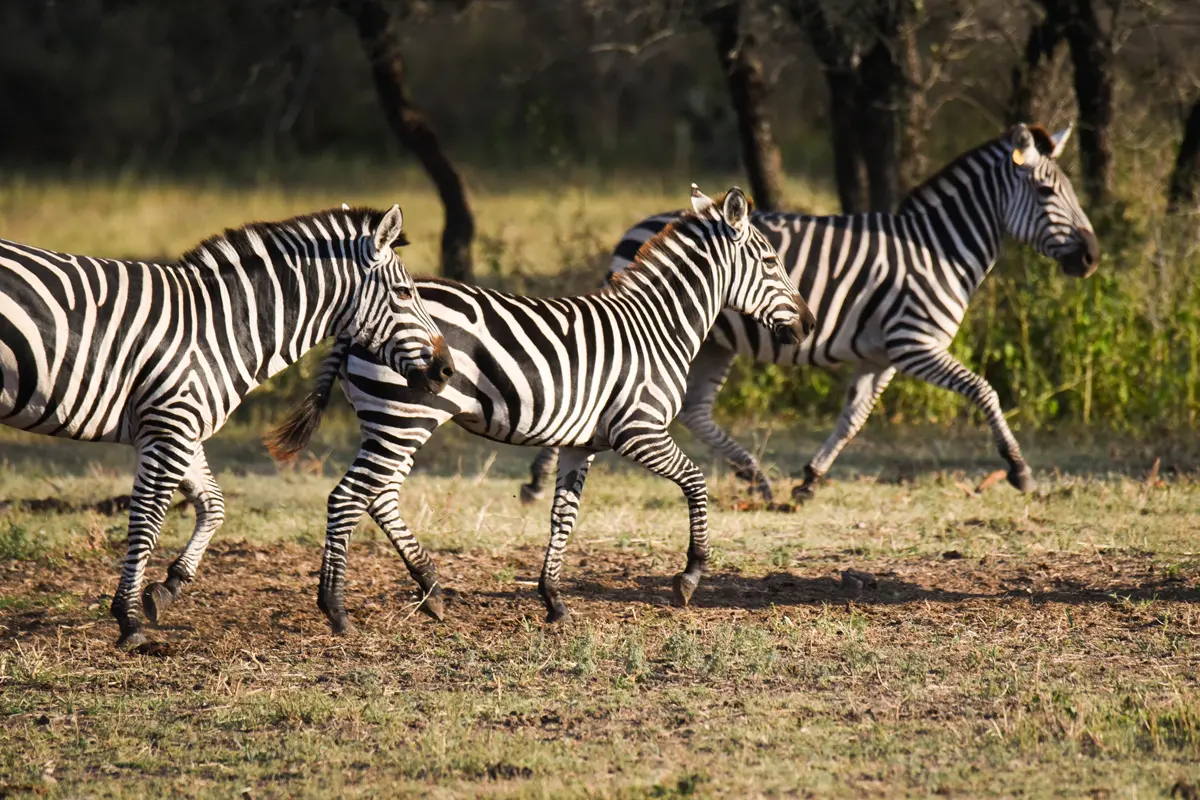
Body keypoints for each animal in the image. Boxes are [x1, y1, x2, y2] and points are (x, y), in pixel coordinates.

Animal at [0, 204, 452, 648]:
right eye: (405, 292)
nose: (447, 370)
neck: (217, 327)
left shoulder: (179, 427)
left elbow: (213, 504)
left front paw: (168, 587)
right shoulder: (169, 427)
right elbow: (146, 522)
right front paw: (129, 622)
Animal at [264, 185, 815, 629]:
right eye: (771, 262)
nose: (808, 324)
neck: (657, 326)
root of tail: (354, 321)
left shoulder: (580, 443)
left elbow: (562, 516)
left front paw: (553, 599)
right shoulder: (638, 430)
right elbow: (696, 483)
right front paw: (690, 575)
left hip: (390, 422)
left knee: (378, 496)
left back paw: (432, 590)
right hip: (404, 419)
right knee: (348, 498)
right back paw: (336, 609)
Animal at [520, 124, 1100, 505]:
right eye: (1046, 190)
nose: (1092, 258)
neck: (939, 248)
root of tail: (639, 227)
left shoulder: (882, 355)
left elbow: (852, 418)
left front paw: (809, 479)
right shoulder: (915, 342)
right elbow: (984, 390)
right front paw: (1020, 471)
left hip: (712, 341)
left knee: (695, 410)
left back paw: (758, 478)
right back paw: (536, 480)